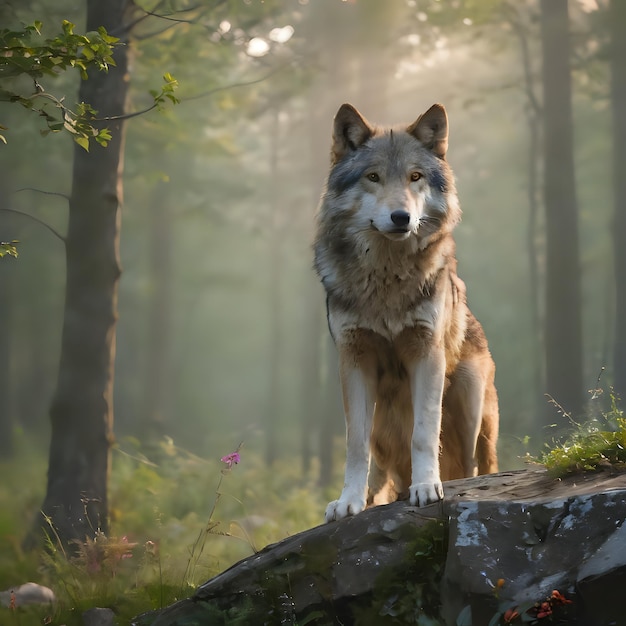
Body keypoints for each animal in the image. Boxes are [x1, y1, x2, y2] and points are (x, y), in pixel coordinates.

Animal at [312, 103, 498, 520]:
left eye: (415, 177)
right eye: (373, 177)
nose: (401, 217)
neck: (386, 278)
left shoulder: (426, 354)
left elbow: (424, 433)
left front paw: (426, 487)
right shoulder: (354, 360)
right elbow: (355, 444)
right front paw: (348, 501)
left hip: (468, 397)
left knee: (470, 466)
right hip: (384, 420)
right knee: (384, 469)